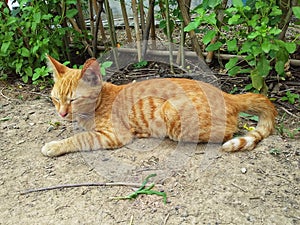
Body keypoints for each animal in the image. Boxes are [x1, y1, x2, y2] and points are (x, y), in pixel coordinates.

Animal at [41, 55, 276, 157]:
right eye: (56, 99)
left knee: (224, 133)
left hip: (171, 113)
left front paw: (54, 145)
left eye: (73, 100)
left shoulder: (113, 134)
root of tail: (229, 95)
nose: (62, 114)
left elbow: (80, 138)